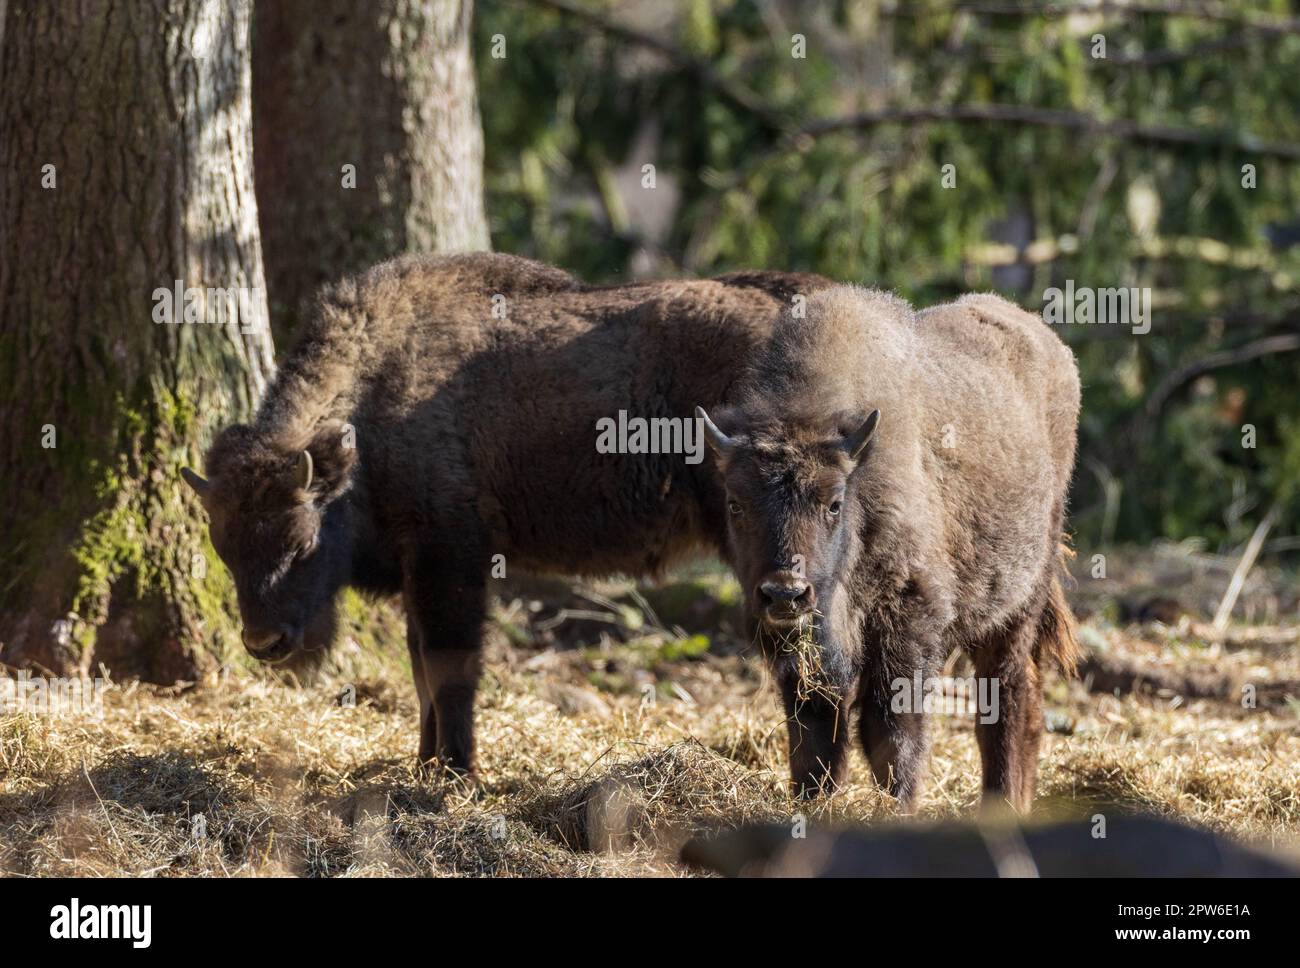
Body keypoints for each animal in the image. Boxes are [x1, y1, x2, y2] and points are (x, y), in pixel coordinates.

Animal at [182, 252, 832, 777]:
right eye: (224, 548)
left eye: (302, 542)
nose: (264, 642)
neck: (372, 407)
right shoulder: (420, 573)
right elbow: (420, 668)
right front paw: (426, 764)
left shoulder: (450, 562)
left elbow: (449, 669)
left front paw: (456, 772)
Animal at [695, 286, 1080, 812]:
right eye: (735, 503)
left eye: (834, 503)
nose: (785, 593)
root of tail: (1056, 349)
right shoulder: (805, 655)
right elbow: (814, 737)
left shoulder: (908, 626)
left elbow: (892, 733)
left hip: (1018, 606)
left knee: (1006, 701)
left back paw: (1001, 803)